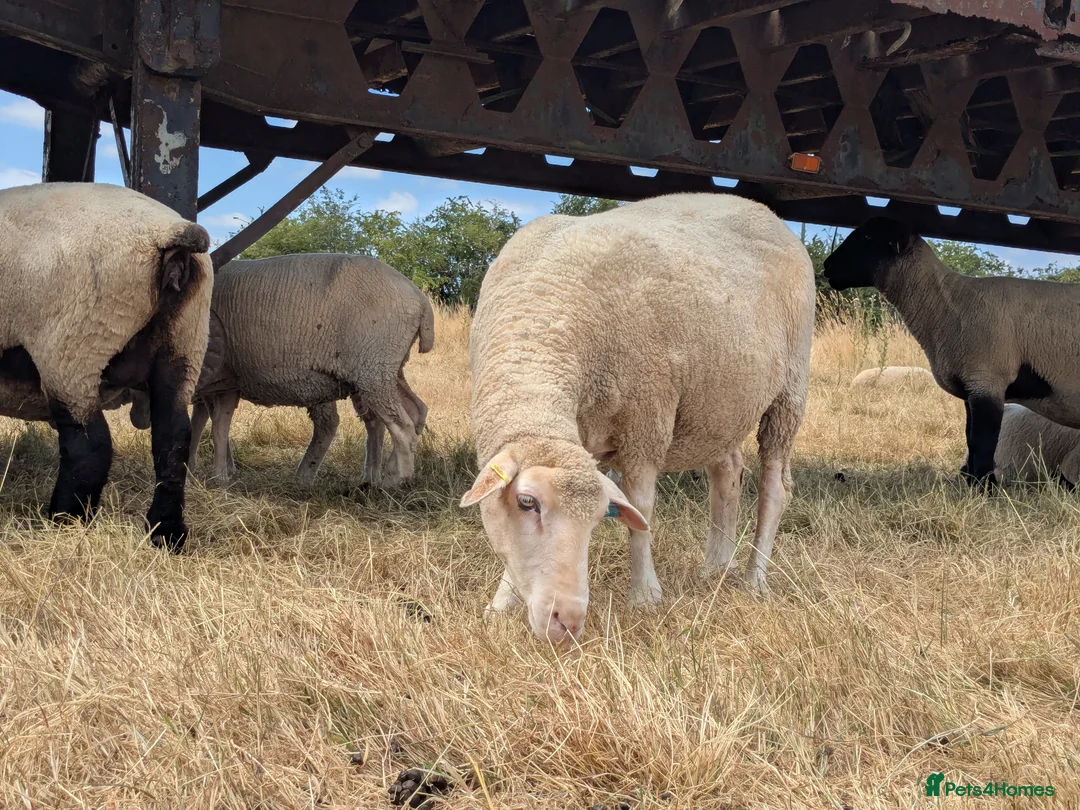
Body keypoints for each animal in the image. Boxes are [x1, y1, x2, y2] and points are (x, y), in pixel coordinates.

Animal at [0, 182, 213, 550]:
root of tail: (171, 231)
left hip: (75, 346)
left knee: (91, 445)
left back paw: (64, 519)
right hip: (185, 342)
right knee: (173, 438)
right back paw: (166, 532)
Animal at [188, 253, 433, 487]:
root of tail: (422, 302)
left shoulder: (219, 380)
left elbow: (214, 426)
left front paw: (215, 476)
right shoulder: (221, 384)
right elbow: (211, 422)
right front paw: (215, 470)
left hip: (373, 368)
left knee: (400, 427)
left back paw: (393, 481)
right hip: (383, 370)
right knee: (410, 412)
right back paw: (374, 476)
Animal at [459, 192, 815, 643]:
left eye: (598, 518)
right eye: (527, 502)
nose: (567, 621)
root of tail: (768, 214)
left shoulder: (648, 418)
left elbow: (641, 512)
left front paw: (645, 594)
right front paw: (502, 602)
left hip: (789, 392)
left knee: (773, 488)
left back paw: (754, 578)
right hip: (720, 400)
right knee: (728, 473)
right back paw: (716, 566)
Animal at [823, 217, 1080, 487]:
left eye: (869, 237)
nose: (827, 265)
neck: (950, 304)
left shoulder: (987, 379)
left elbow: (984, 442)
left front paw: (985, 486)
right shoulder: (971, 386)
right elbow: (970, 439)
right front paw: (971, 482)